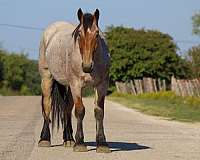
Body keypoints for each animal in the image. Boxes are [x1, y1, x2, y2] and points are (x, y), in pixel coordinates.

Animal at [37, 8, 111, 153]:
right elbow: (80, 111)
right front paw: (80, 143)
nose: (87, 66)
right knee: (47, 106)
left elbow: (99, 112)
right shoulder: (76, 85)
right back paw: (44, 139)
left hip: (69, 87)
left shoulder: (101, 85)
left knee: (66, 109)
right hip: (47, 78)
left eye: (97, 34)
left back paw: (69, 139)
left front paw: (102, 144)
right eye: (79, 34)